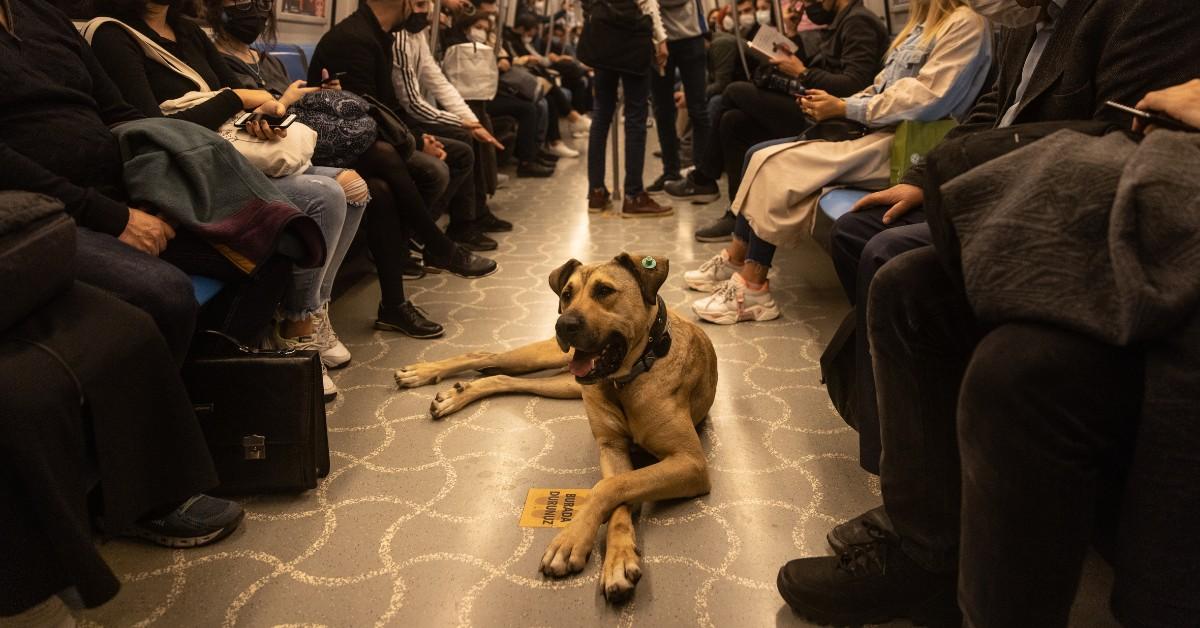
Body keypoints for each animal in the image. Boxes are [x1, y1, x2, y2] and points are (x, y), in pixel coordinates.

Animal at [393, 253, 715, 602]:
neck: (626, 378)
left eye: (604, 291)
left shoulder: (690, 463)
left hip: (564, 383)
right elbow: (612, 489)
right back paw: (424, 373)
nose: (564, 324)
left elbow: (614, 488)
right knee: (484, 355)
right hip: (547, 357)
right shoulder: (612, 447)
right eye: (566, 294)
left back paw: (458, 392)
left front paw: (595, 551)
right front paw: (586, 545)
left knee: (503, 376)